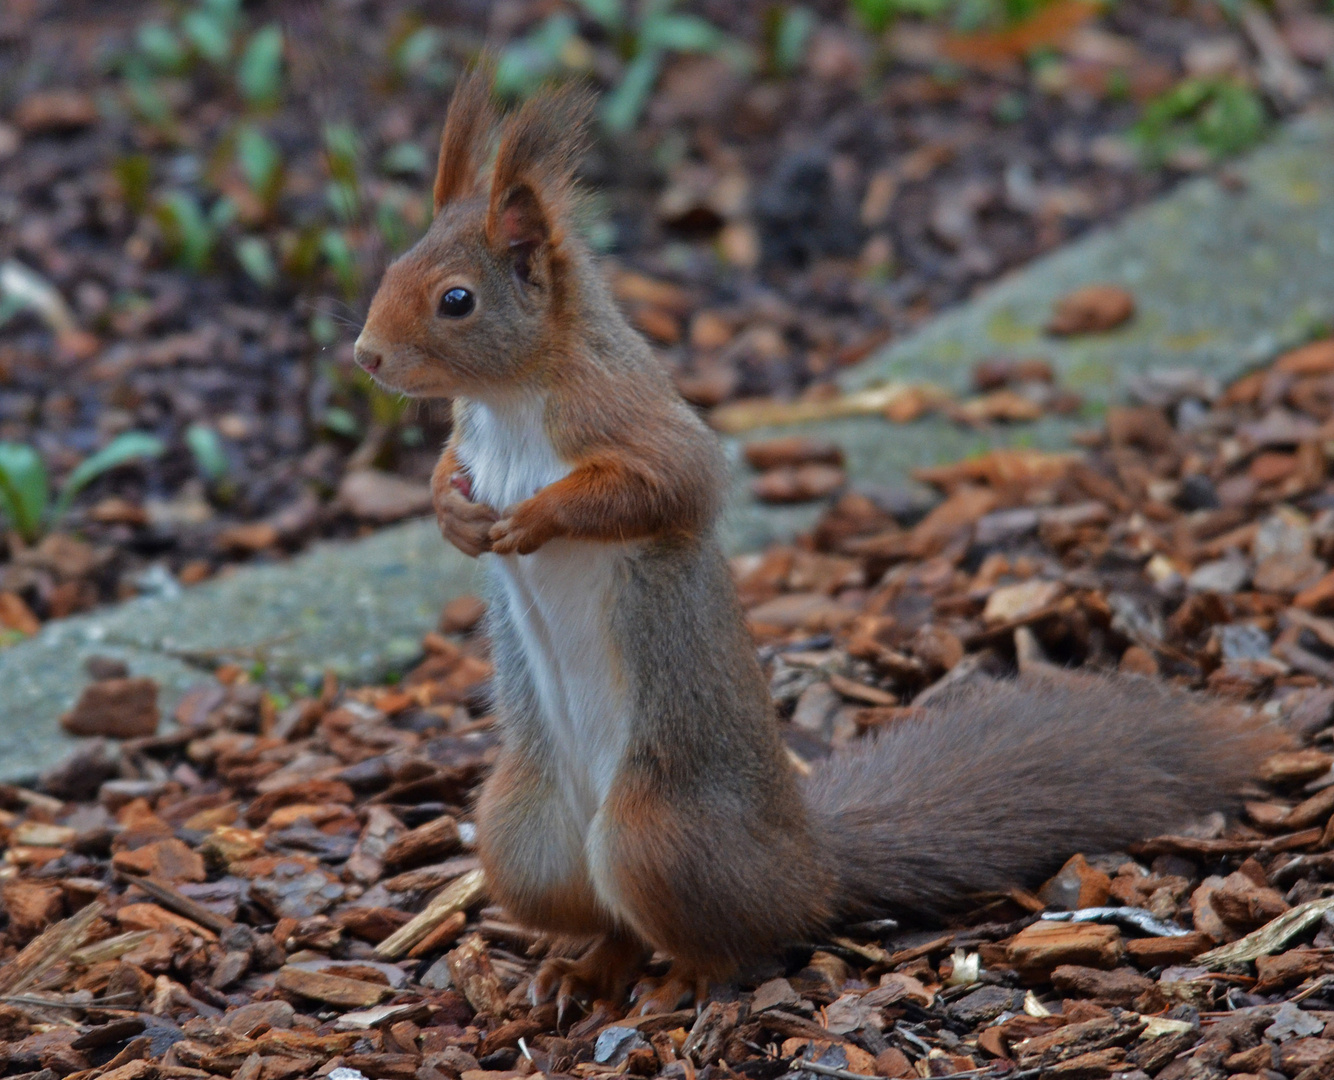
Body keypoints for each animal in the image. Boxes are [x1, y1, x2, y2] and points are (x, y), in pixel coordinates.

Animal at [357, 71, 1280, 1013]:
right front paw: (455, 516)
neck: (511, 401)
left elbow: (664, 486)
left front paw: (533, 519)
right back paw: (580, 972)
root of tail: (809, 864)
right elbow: (447, 473)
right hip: (524, 836)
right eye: (390, 269)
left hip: (654, 835)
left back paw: (677, 986)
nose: (364, 356)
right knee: (613, 923)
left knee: (725, 942)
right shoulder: (474, 438)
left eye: (457, 300)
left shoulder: (626, 418)